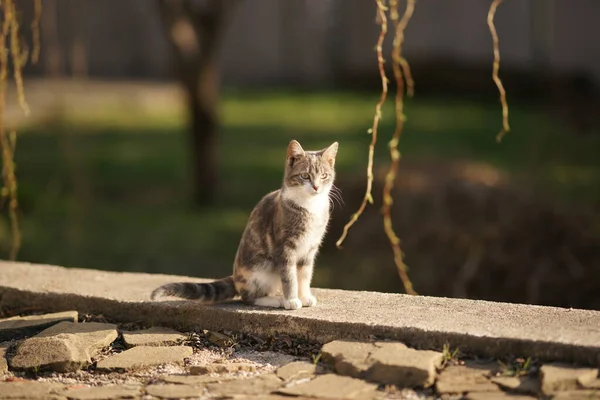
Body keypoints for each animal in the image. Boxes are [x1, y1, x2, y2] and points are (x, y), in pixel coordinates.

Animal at [150, 139, 340, 310]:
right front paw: (292, 300)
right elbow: (289, 277)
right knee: (248, 297)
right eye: (305, 176)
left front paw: (305, 296)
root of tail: (235, 277)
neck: (310, 207)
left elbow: (305, 276)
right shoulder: (285, 248)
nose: (316, 187)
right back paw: (275, 300)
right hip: (261, 270)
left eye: (324, 176)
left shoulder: (310, 249)